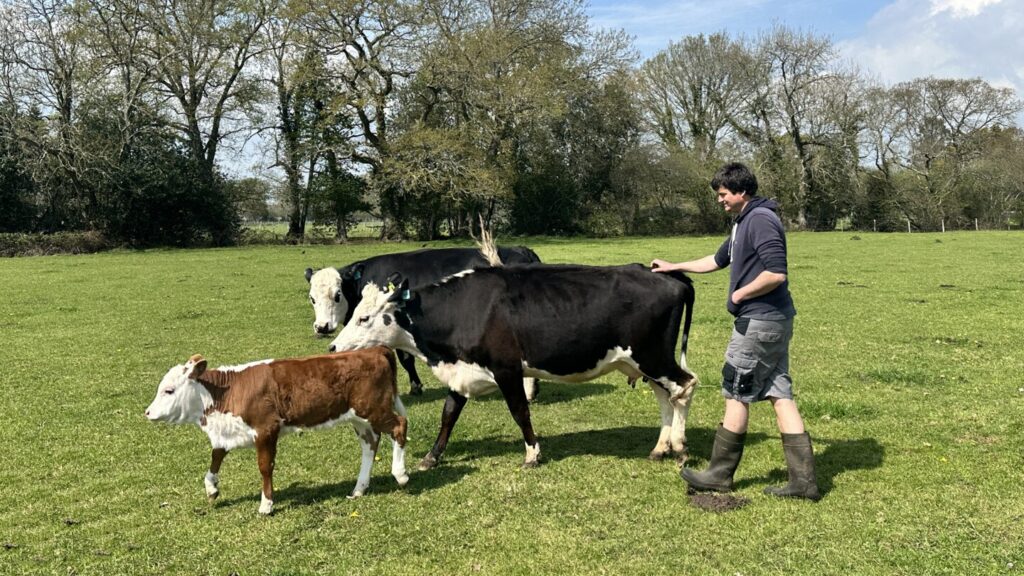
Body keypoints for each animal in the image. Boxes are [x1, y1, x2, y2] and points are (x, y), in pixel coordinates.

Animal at [144, 347, 409, 515]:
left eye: (169, 390)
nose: (147, 413)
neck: (227, 392)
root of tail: (375, 350)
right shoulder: (228, 432)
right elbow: (216, 457)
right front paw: (212, 488)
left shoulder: (266, 429)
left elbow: (264, 467)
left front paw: (266, 505)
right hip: (359, 417)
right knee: (370, 443)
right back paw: (359, 489)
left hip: (373, 409)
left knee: (399, 426)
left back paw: (400, 474)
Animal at [305, 245, 542, 395]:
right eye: (312, 298)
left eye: (337, 295)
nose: (322, 327)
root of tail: (522, 250)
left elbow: (405, 359)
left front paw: (415, 387)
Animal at [327, 263, 698, 471]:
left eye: (364, 318)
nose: (333, 347)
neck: (463, 311)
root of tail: (668, 276)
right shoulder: (462, 372)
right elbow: (448, 415)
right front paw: (432, 456)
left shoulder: (507, 370)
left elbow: (520, 411)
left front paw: (533, 453)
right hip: (646, 362)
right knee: (666, 397)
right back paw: (661, 447)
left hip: (653, 356)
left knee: (685, 387)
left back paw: (680, 448)